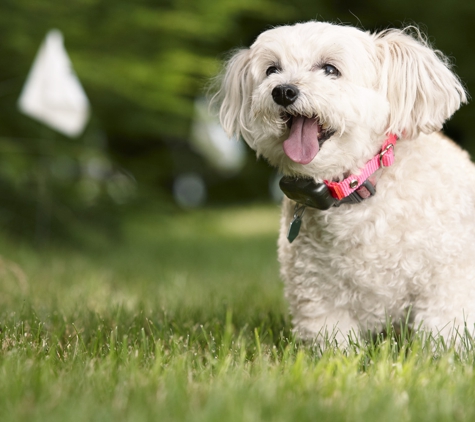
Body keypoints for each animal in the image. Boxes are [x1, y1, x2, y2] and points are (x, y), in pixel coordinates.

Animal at [217, 21, 475, 344]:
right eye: (271, 70)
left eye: (330, 69)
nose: (283, 91)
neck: (355, 189)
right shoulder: (316, 291)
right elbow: (333, 340)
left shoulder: (447, 277)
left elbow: (444, 328)